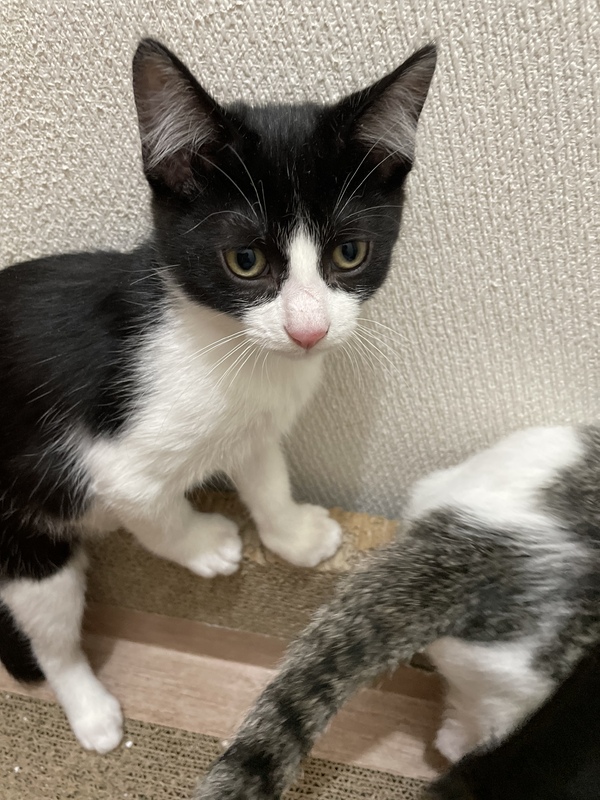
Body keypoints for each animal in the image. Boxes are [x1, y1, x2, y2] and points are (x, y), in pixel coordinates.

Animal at [0, 39, 437, 755]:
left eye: (350, 252)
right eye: (245, 262)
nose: (308, 330)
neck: (225, 345)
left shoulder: (255, 421)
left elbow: (264, 468)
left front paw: (293, 534)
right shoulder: (100, 453)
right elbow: (149, 504)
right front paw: (206, 543)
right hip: (20, 519)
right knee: (49, 623)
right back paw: (90, 711)